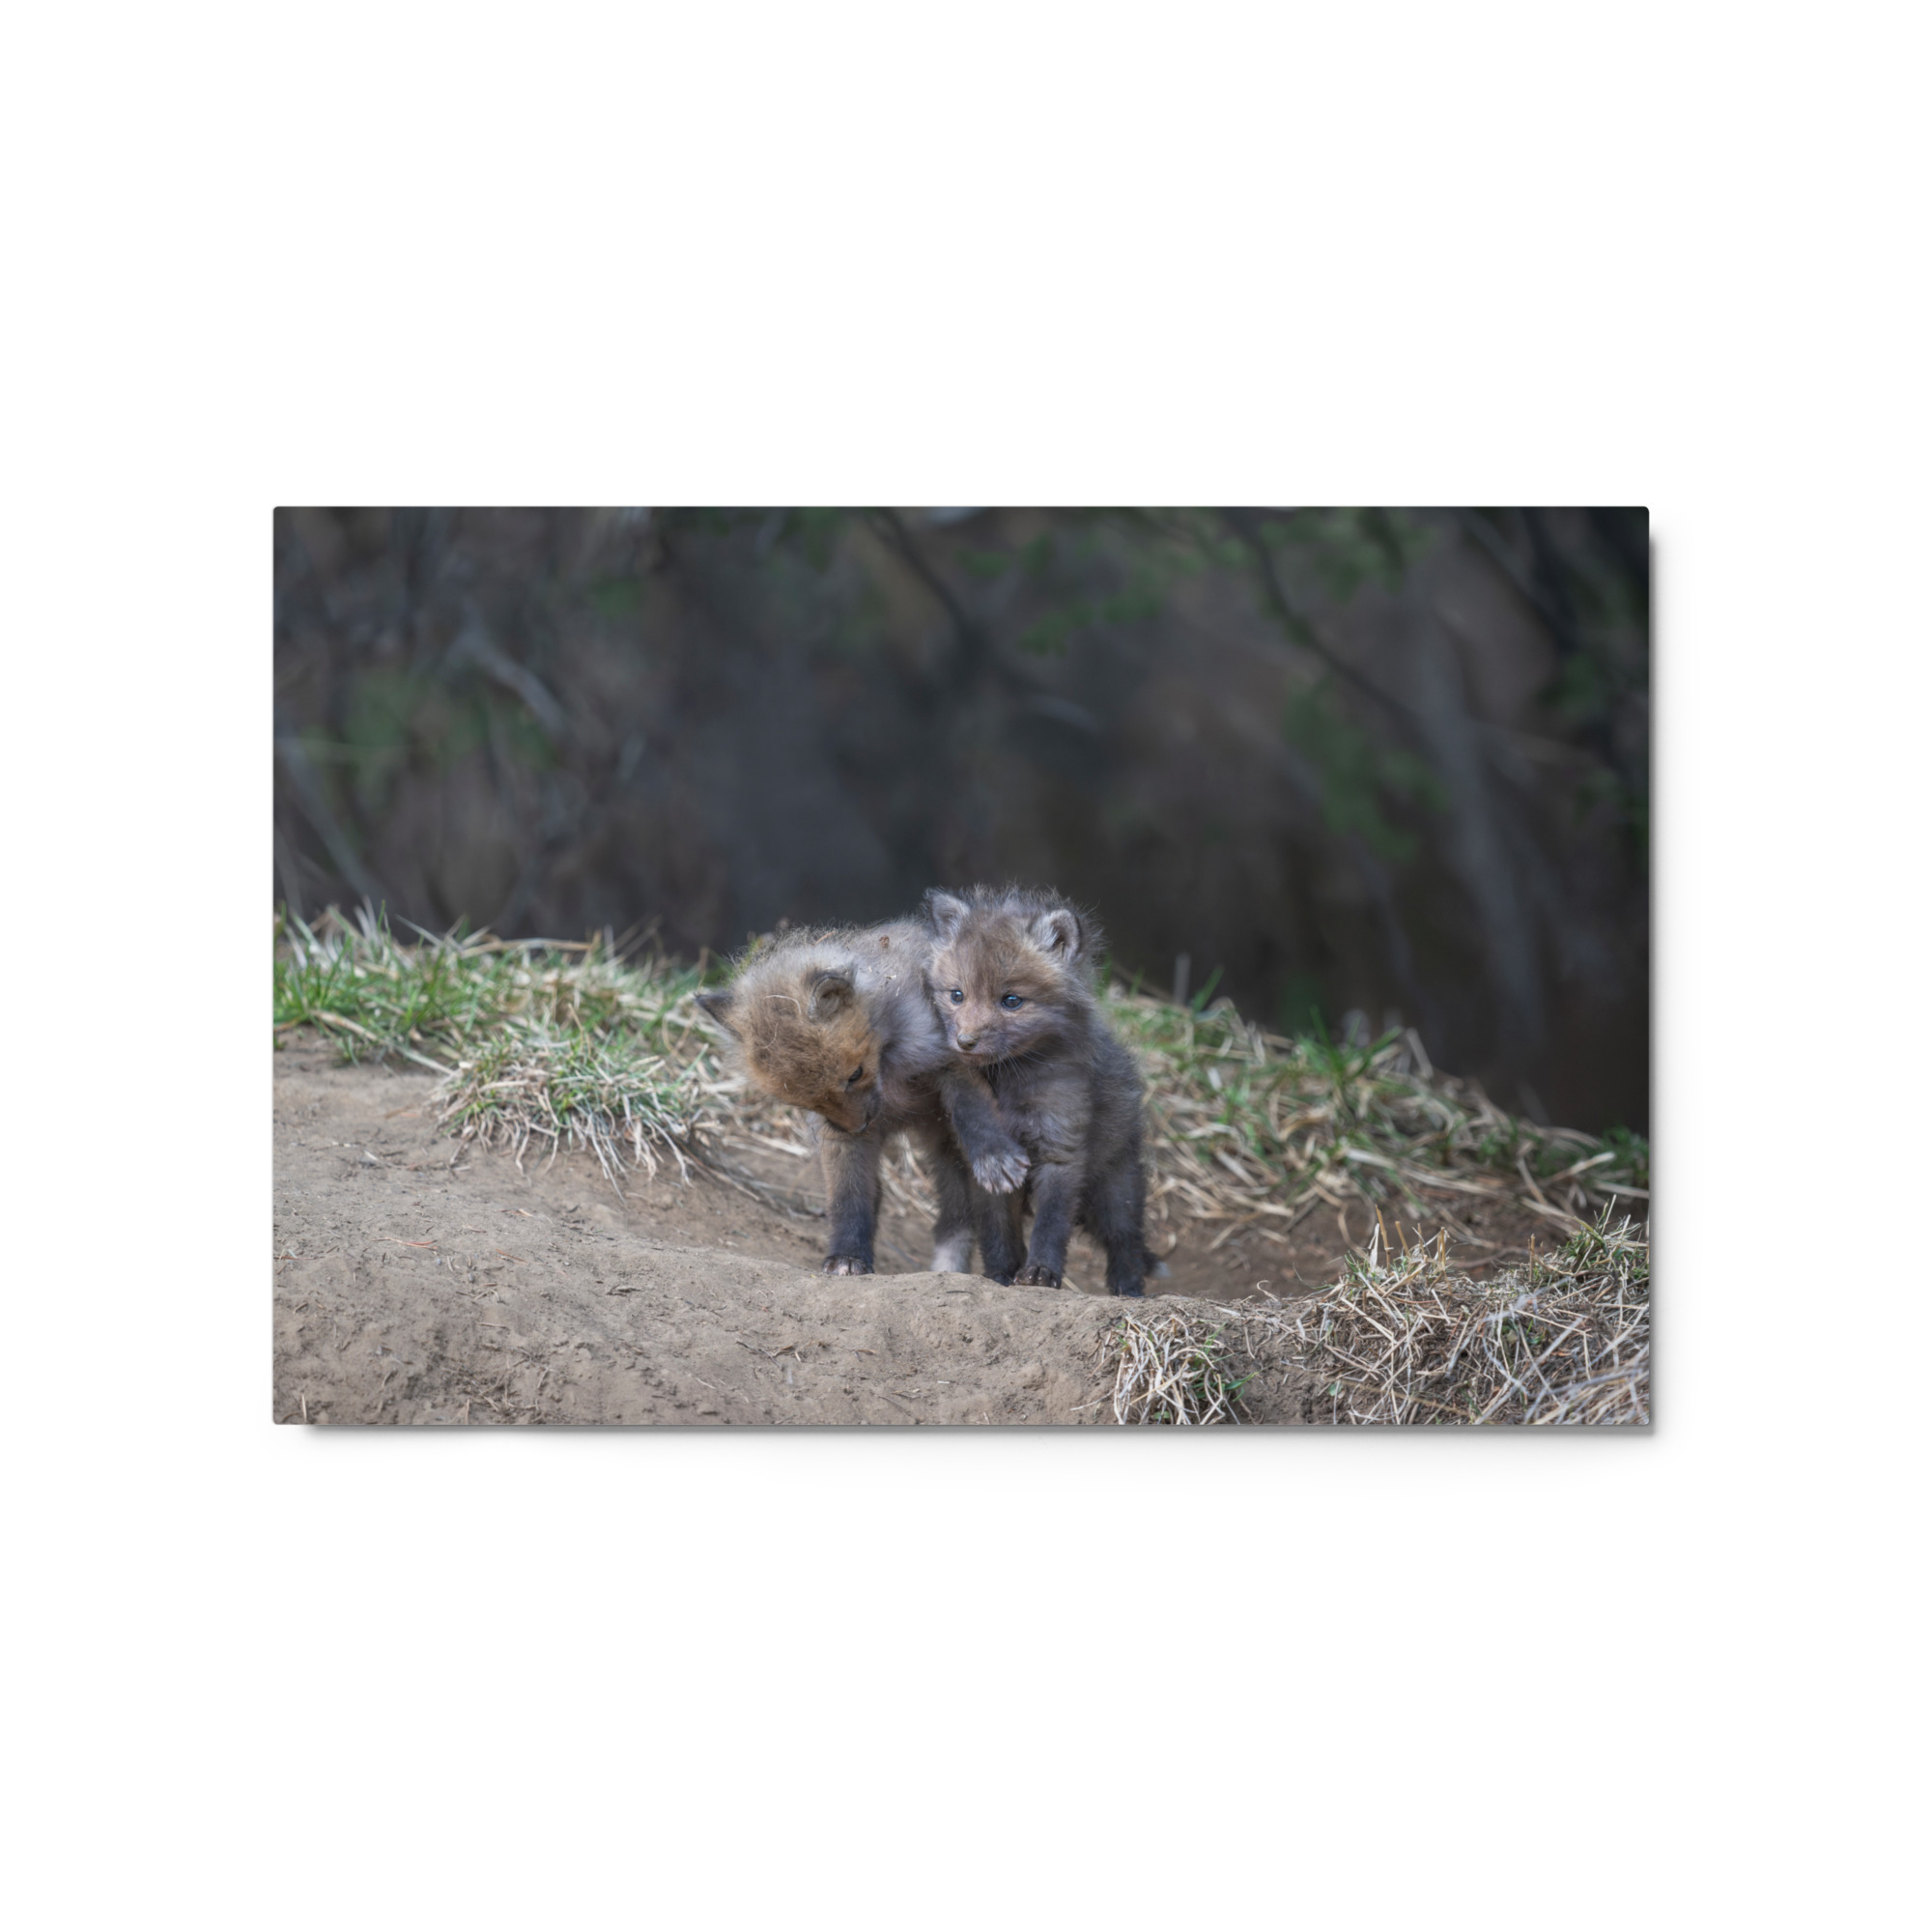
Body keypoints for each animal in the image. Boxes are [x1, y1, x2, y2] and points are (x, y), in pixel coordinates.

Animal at [694, 920, 1029, 1277]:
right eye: (805, 1101)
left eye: (855, 1075)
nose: (858, 1127)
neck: (889, 1068)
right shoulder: (837, 1136)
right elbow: (848, 1197)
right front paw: (848, 1256)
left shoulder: (952, 1059)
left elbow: (973, 1111)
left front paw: (994, 1156)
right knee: (954, 1217)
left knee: (992, 1221)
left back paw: (1003, 1273)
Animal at [921, 884, 1150, 1297]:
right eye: (957, 995)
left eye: (1011, 1001)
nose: (964, 1042)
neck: (1010, 1083)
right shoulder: (988, 1167)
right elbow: (998, 1232)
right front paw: (1000, 1275)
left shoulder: (1061, 1149)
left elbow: (1051, 1223)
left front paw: (1041, 1272)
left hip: (1115, 1189)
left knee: (1127, 1241)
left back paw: (1129, 1291)